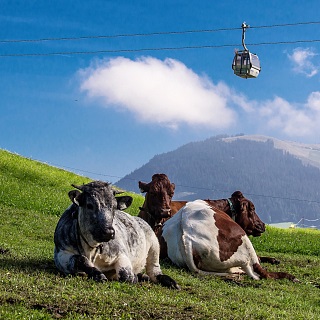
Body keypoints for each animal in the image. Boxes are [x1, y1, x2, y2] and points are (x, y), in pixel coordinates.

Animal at [162, 201, 298, 282]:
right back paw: (290, 277)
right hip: (244, 241)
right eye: (252, 209)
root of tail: (186, 235)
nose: (263, 225)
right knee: (261, 272)